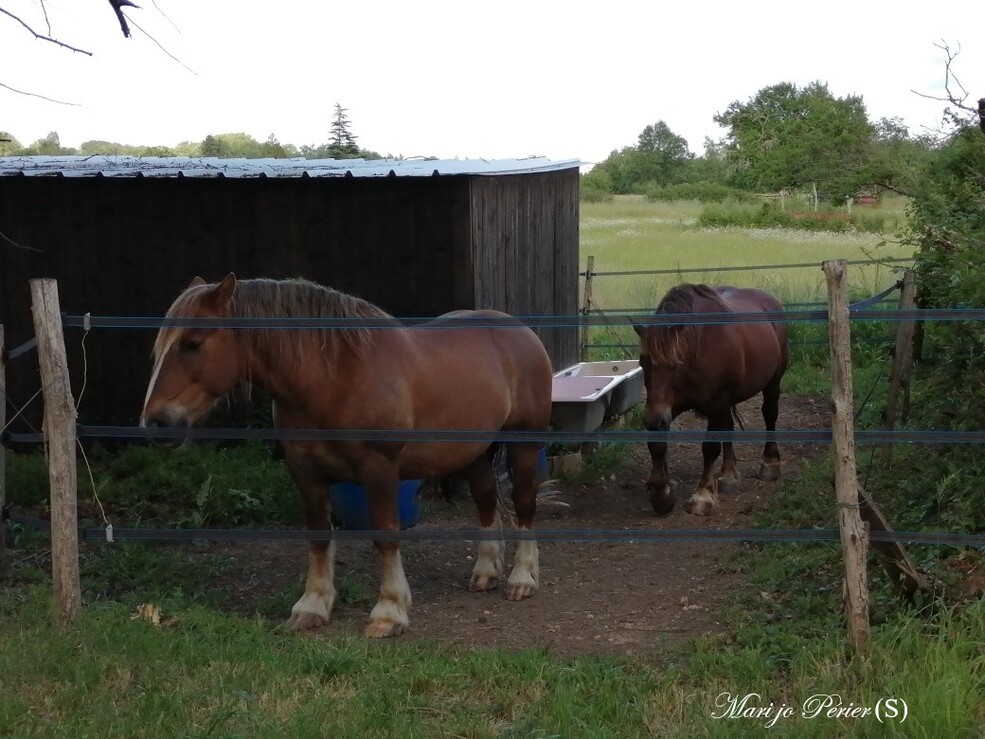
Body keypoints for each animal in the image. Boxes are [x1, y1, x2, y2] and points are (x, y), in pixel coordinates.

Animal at [141, 274, 552, 640]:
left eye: (193, 343)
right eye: (159, 346)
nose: (156, 422)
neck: (336, 376)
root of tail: (520, 332)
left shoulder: (379, 469)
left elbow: (385, 536)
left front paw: (389, 612)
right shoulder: (304, 472)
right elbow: (319, 537)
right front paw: (312, 607)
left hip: (523, 443)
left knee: (524, 504)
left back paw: (522, 579)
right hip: (473, 452)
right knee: (485, 501)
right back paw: (486, 572)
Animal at [636, 286, 788, 516]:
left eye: (674, 365)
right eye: (642, 362)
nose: (652, 420)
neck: (697, 349)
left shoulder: (715, 404)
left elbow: (710, 448)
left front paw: (703, 495)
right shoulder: (669, 406)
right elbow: (657, 445)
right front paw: (661, 495)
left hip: (772, 382)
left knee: (770, 414)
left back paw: (769, 465)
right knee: (729, 426)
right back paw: (728, 475)